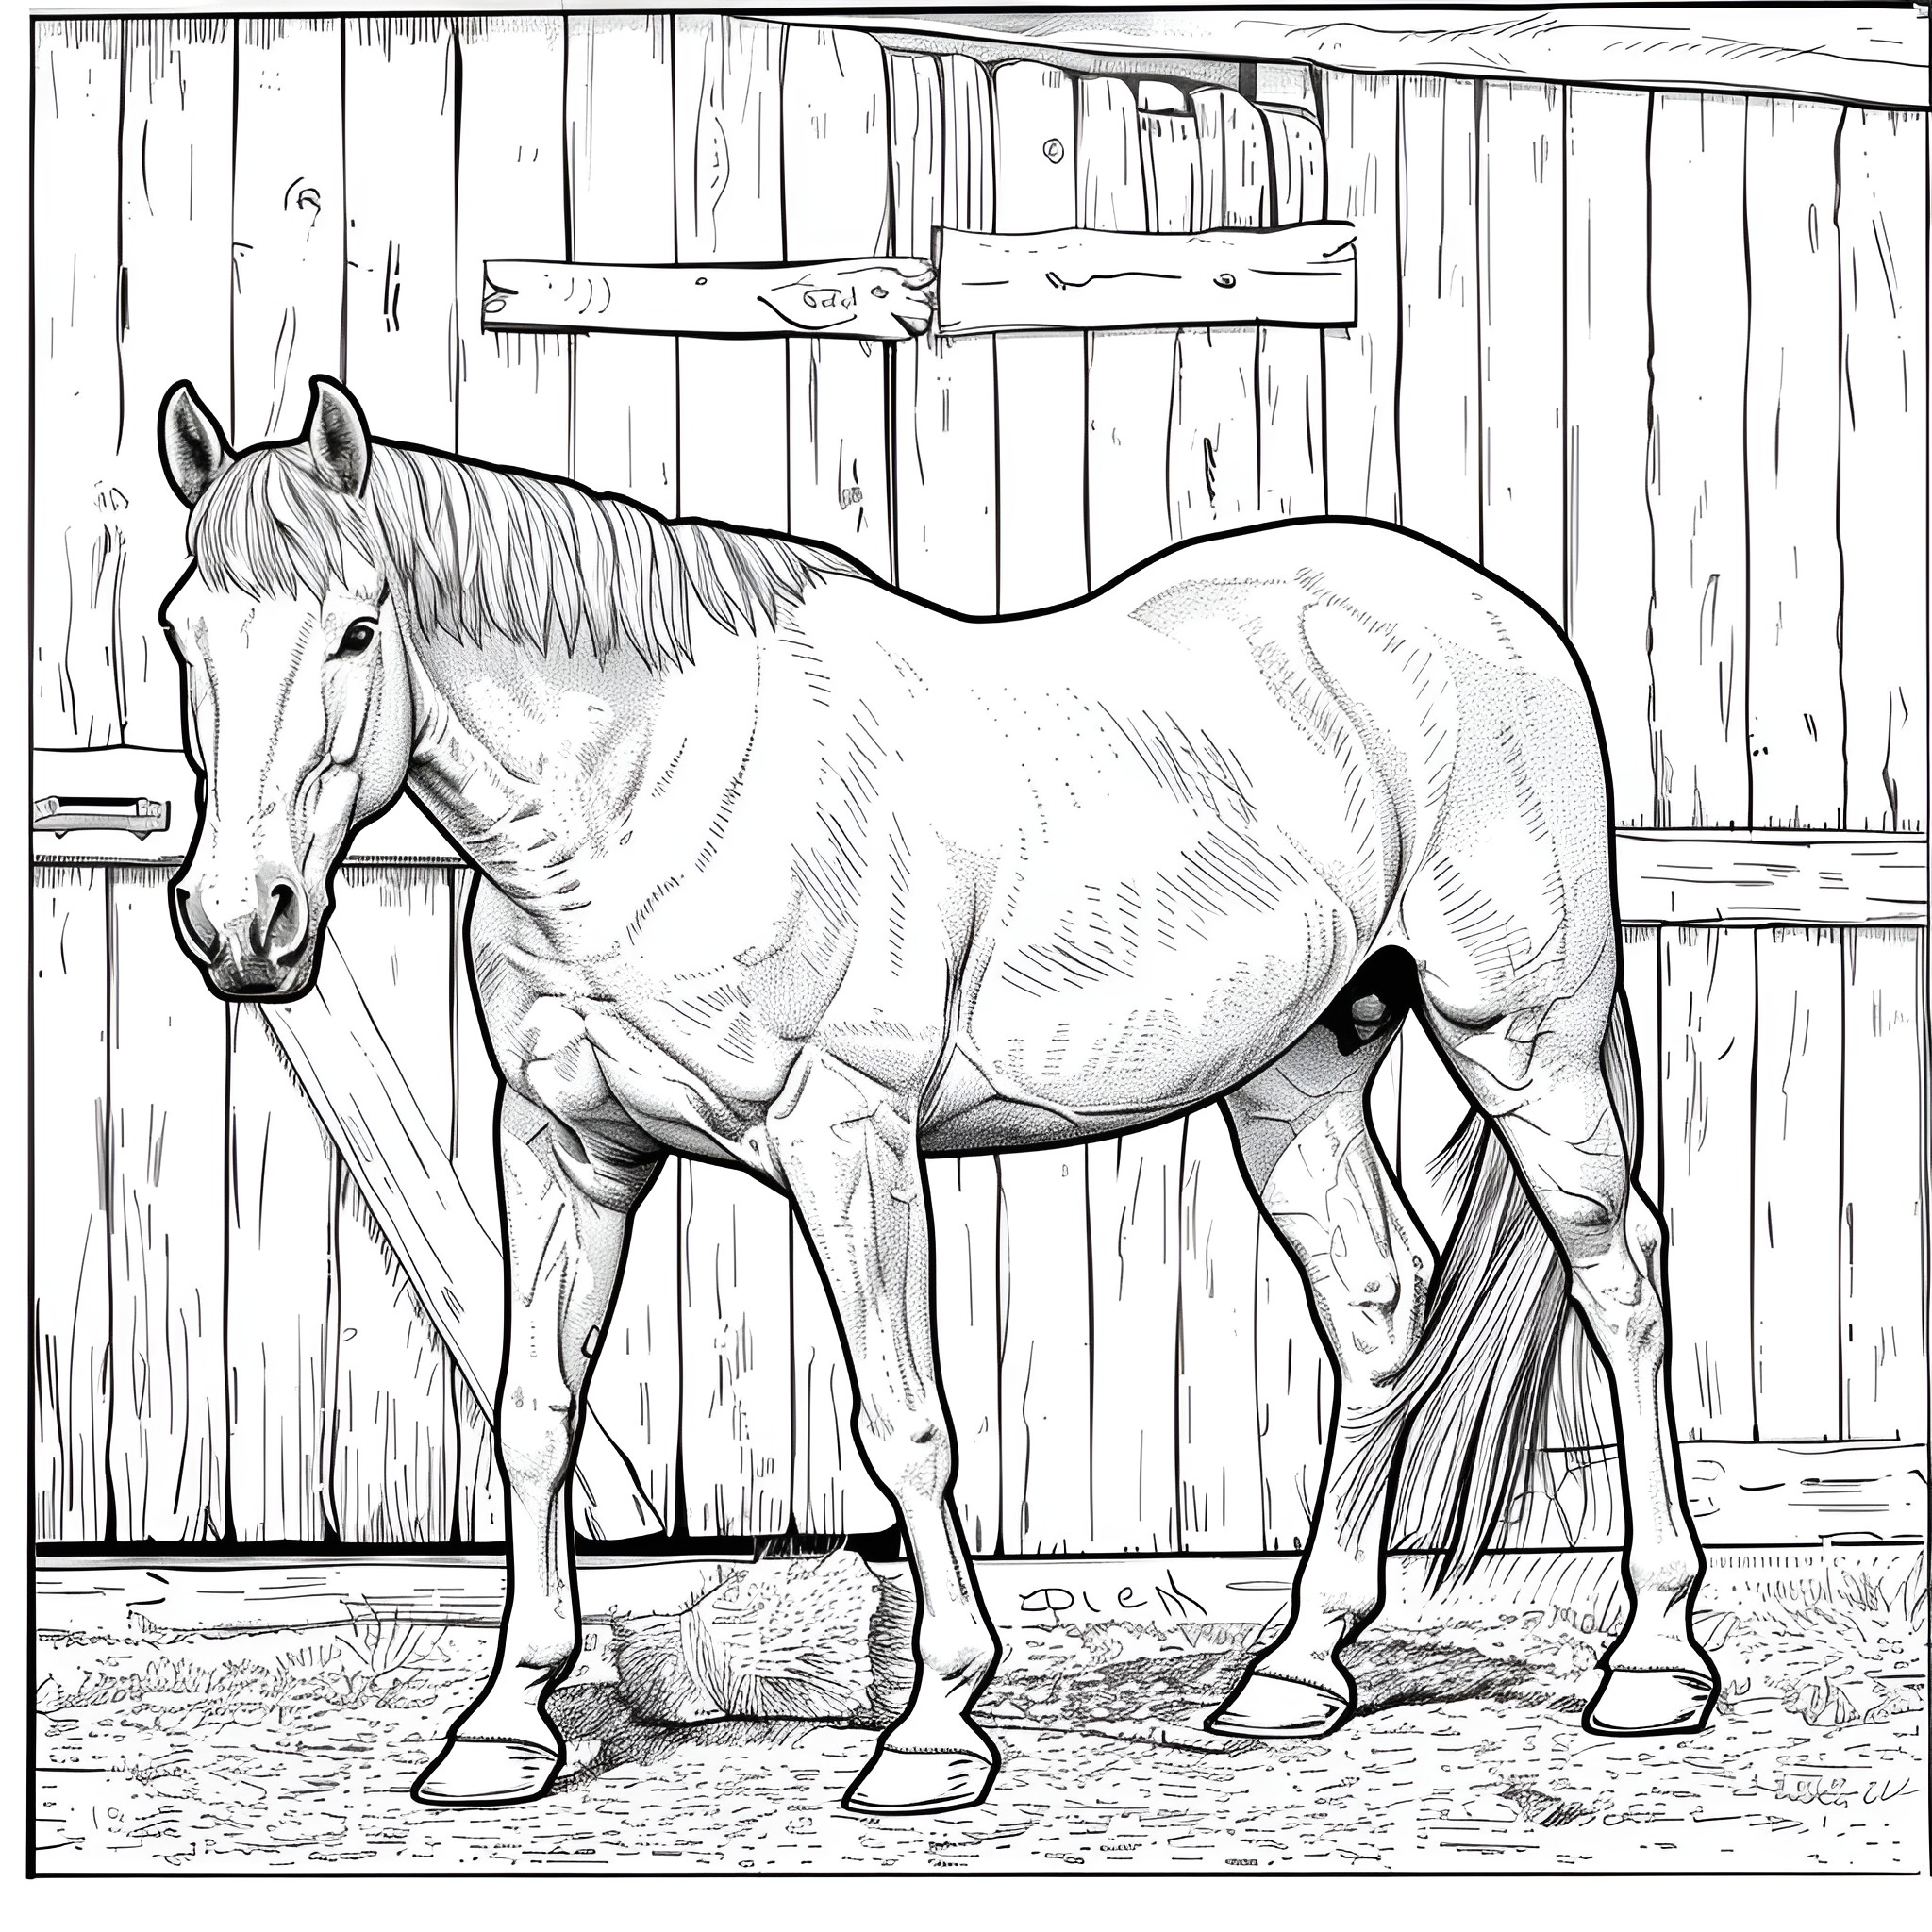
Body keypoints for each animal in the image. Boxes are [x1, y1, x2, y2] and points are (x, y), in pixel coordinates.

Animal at [158, 372, 1719, 1817]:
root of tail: (1498, 620)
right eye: (182, 632)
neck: (661, 794)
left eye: (357, 629)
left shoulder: (848, 1140)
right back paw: (1296, 1671)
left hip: (1523, 1042)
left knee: (1624, 1277)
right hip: (1301, 1069)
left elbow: (903, 1424)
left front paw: (932, 1733)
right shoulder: (565, 1144)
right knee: (1378, 1299)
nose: (242, 927)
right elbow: (535, 1411)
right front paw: (498, 1731)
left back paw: (1652, 1665)